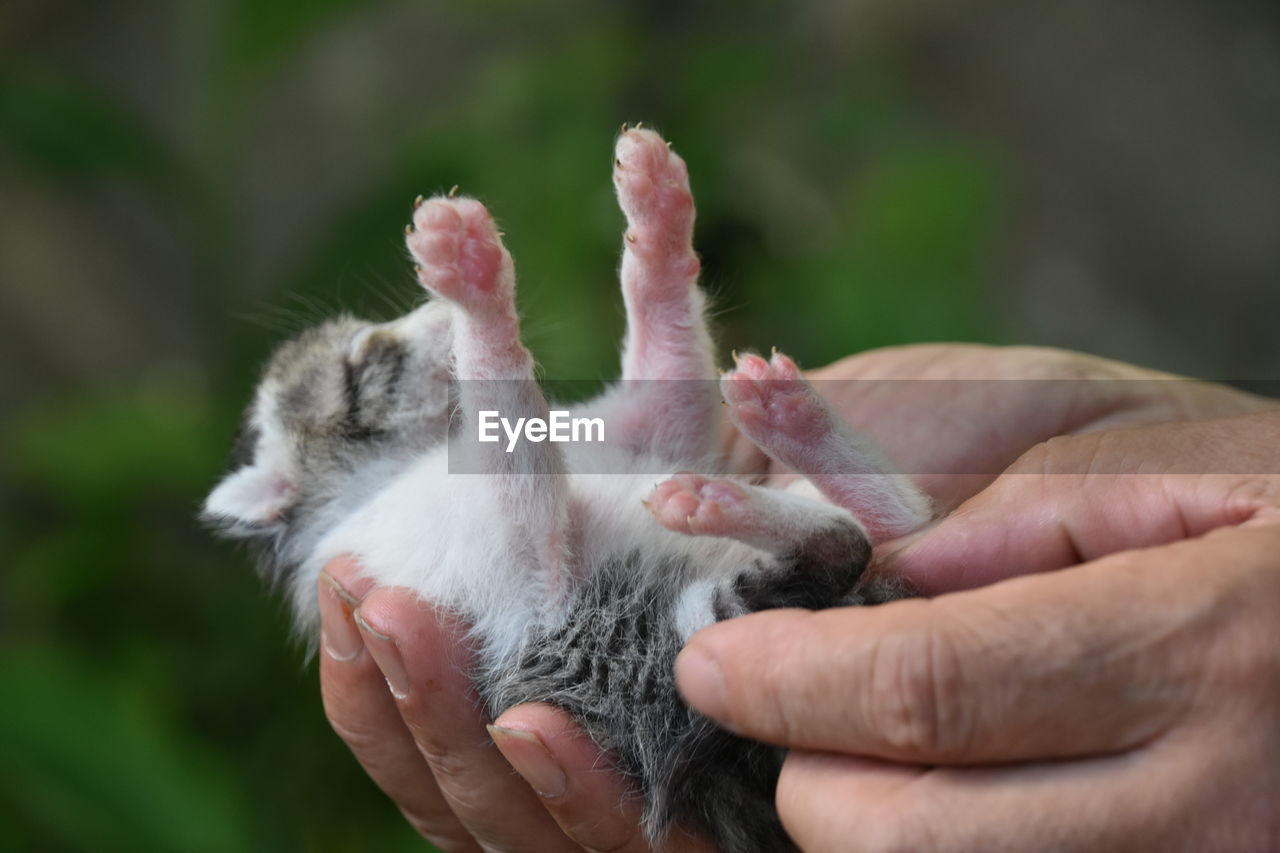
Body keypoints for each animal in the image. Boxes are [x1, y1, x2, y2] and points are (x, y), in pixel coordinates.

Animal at [202, 126, 931, 850]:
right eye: (362, 364)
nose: (434, 313)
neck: (420, 453)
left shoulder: (631, 431)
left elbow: (671, 373)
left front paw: (655, 216)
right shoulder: (520, 567)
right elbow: (509, 410)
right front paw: (473, 279)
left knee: (897, 526)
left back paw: (784, 420)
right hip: (655, 663)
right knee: (838, 547)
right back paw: (718, 497)